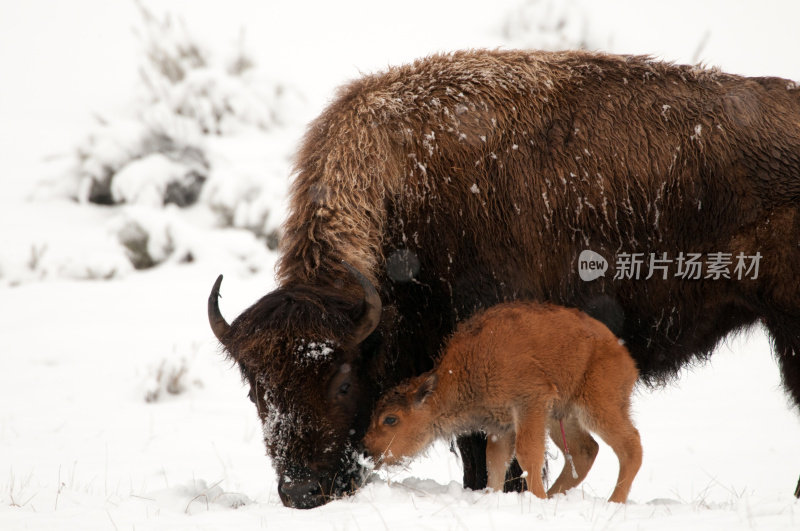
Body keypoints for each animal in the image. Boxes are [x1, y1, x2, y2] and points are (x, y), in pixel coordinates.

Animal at [366, 304, 640, 502]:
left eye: (390, 419)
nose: (368, 449)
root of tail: (624, 355)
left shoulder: (530, 404)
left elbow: (527, 454)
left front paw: (536, 499)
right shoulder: (501, 427)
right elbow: (495, 463)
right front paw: (493, 497)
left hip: (597, 407)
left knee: (631, 446)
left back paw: (613, 502)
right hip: (561, 417)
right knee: (585, 450)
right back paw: (554, 496)